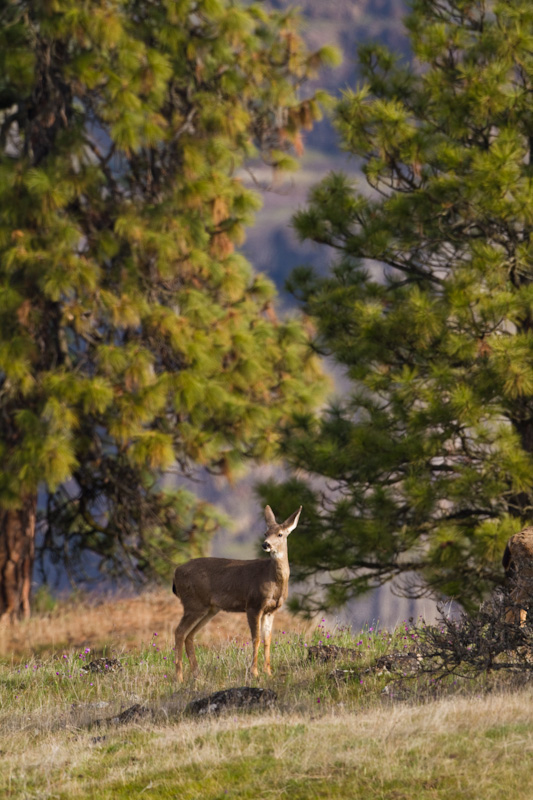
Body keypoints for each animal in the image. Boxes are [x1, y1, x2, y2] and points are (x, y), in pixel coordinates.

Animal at [172, 504, 302, 680]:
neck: (274, 581)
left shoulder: (271, 610)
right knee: (179, 632)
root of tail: (175, 573)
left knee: (189, 635)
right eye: (265, 533)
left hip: (209, 609)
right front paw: (255, 672)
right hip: (193, 603)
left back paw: (196, 675)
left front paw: (268, 672)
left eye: (280, 534)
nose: (265, 544)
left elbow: (268, 640)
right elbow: (256, 639)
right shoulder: (253, 604)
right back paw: (179, 677)